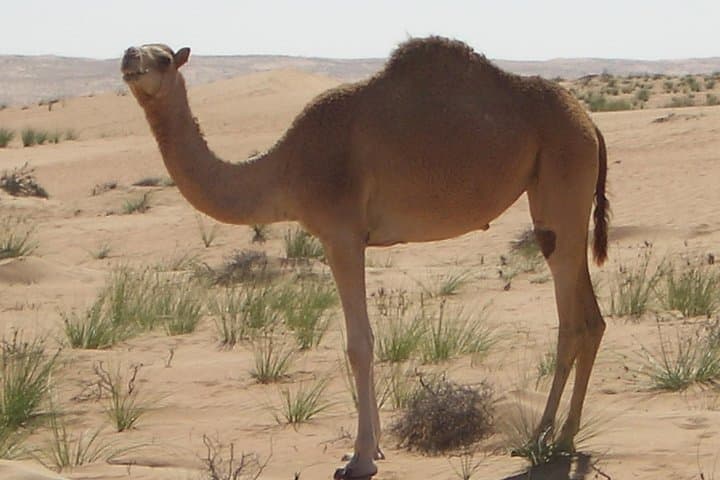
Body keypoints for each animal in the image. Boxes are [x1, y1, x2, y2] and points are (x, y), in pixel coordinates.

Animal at [121, 37, 609, 480]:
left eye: (163, 59)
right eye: (135, 48)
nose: (129, 59)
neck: (286, 166)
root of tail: (590, 123)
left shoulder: (340, 234)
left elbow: (358, 344)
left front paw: (359, 459)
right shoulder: (350, 237)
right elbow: (365, 339)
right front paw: (371, 449)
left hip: (562, 177)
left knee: (572, 321)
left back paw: (547, 439)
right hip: (560, 199)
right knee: (592, 317)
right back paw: (560, 435)